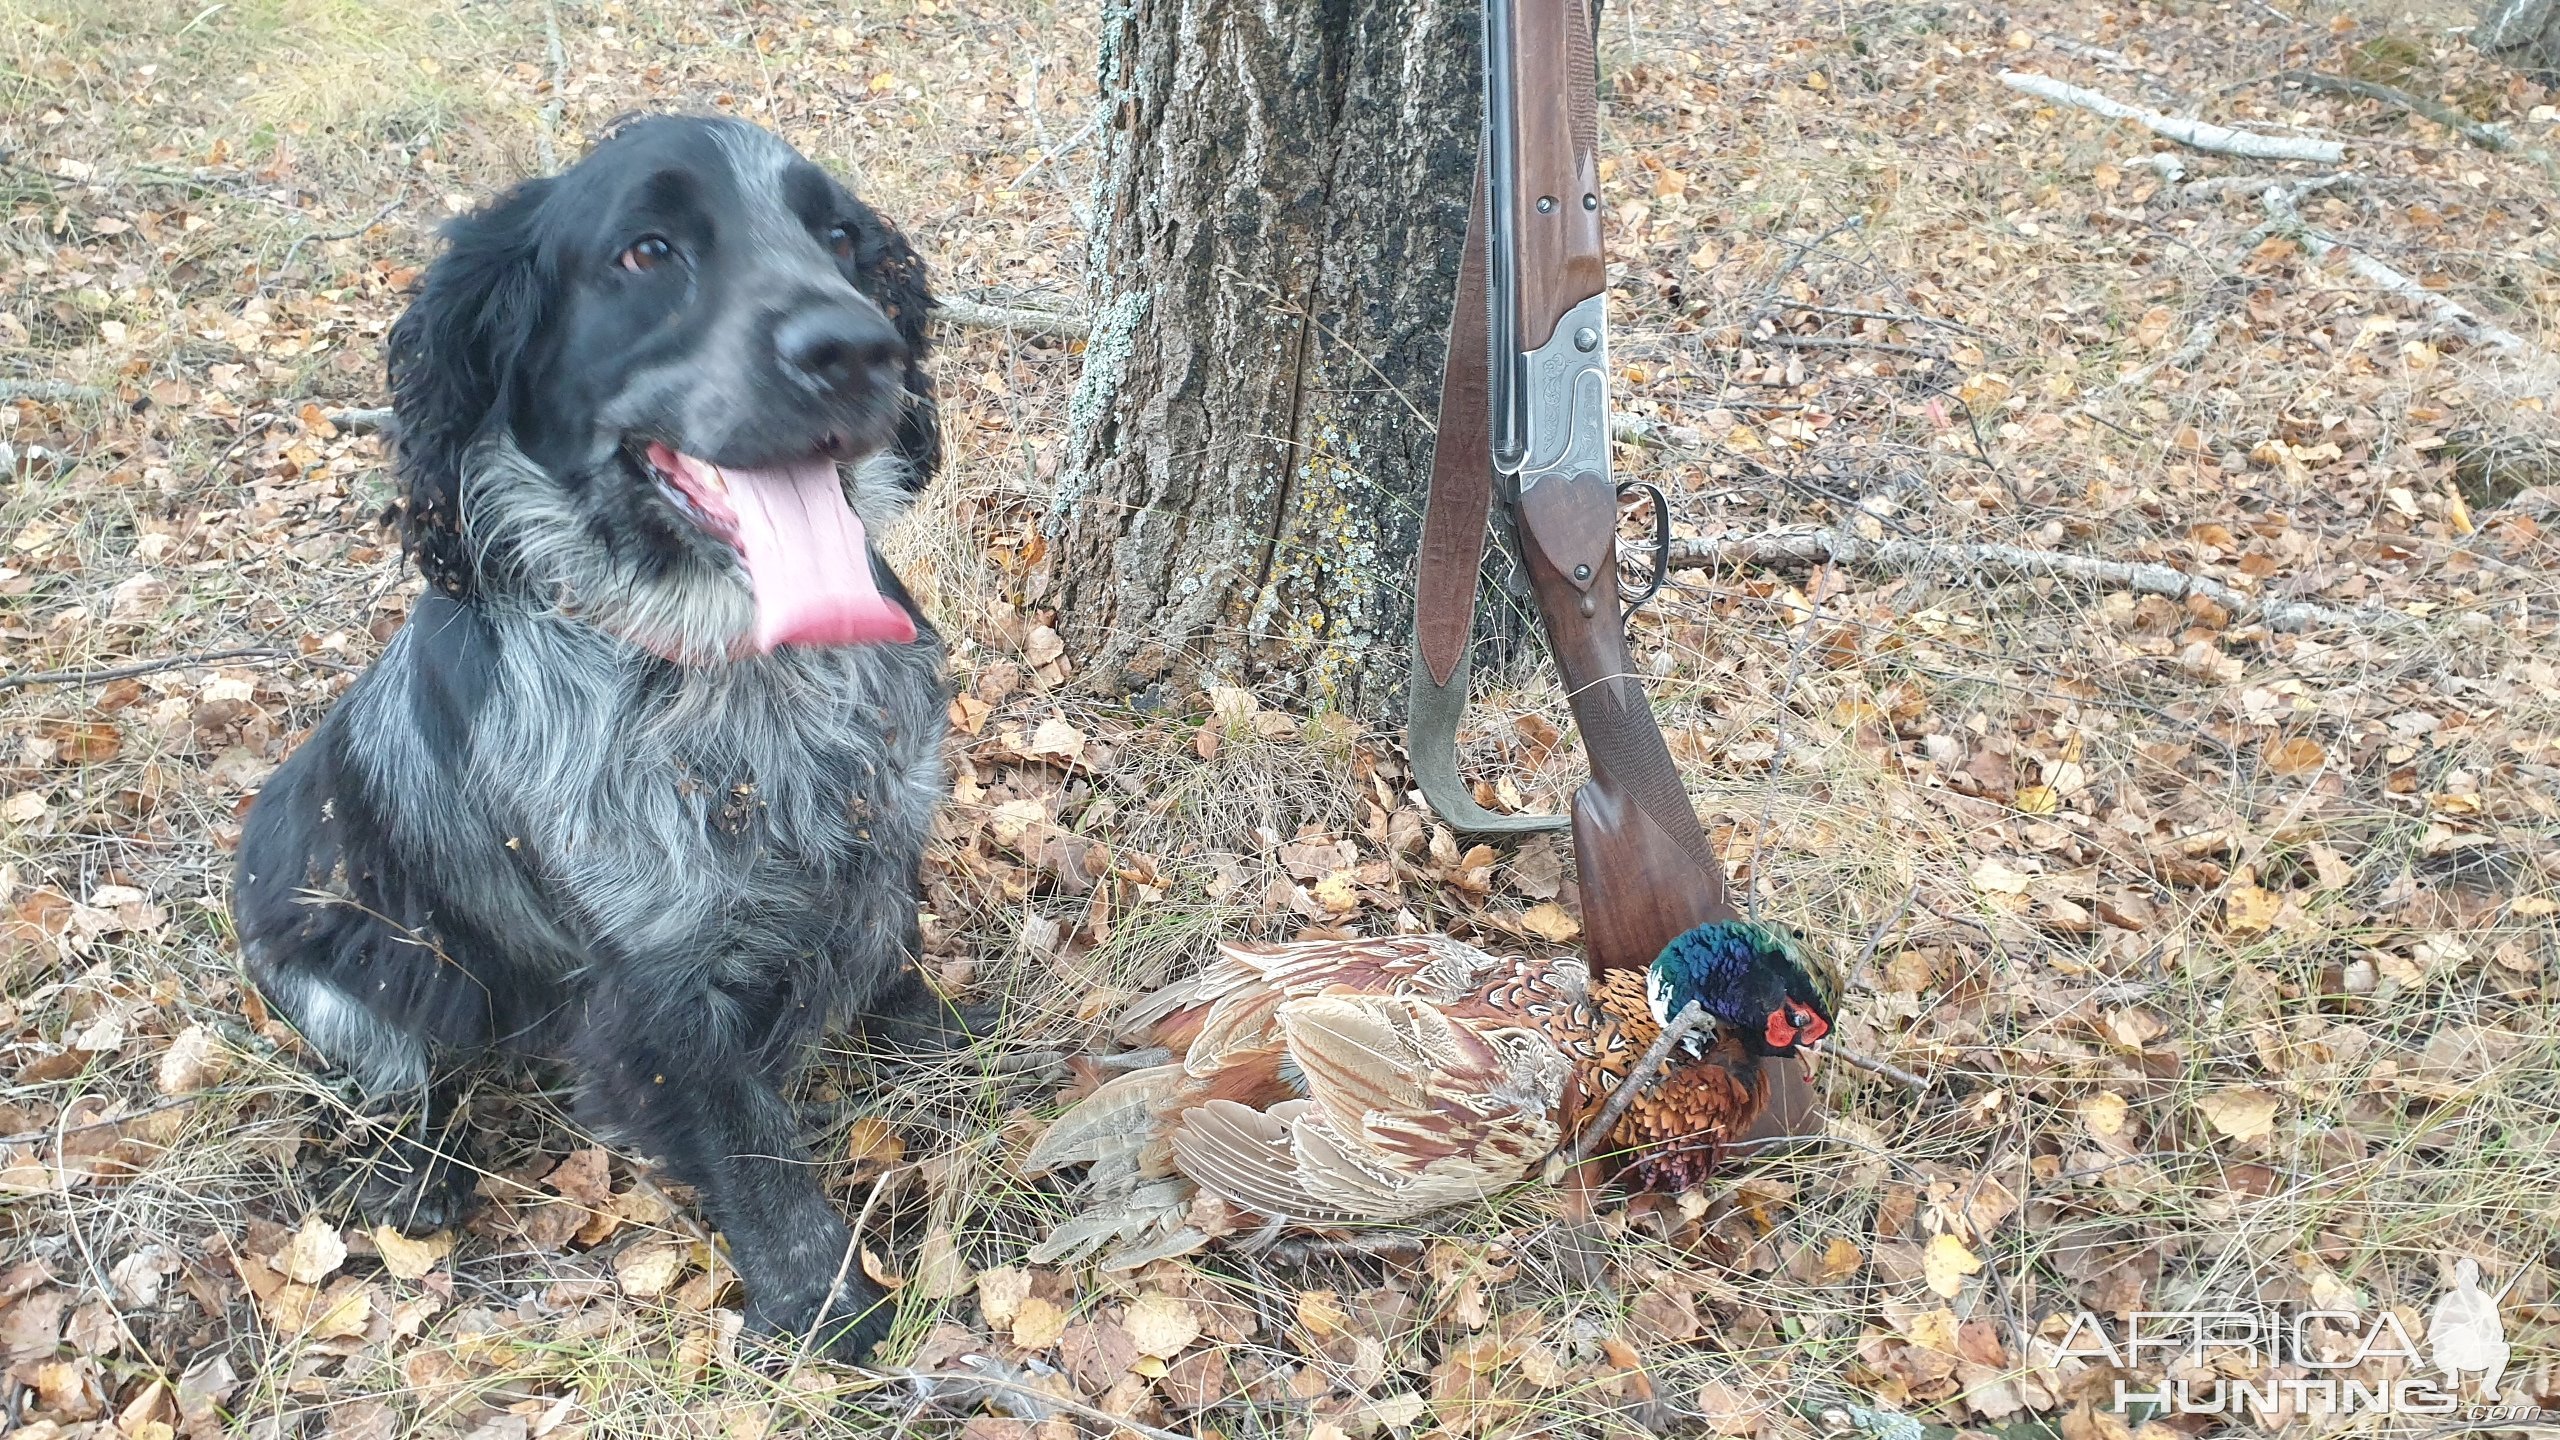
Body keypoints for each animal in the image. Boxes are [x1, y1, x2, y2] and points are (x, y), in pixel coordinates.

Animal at [235, 114, 962, 1352]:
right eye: (647, 250)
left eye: (840, 239)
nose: (858, 351)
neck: (742, 671)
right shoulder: (658, 987)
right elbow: (754, 1154)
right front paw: (830, 1309)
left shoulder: (885, 833)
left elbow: (895, 954)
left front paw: (951, 1036)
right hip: (330, 962)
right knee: (401, 1073)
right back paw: (420, 1175)